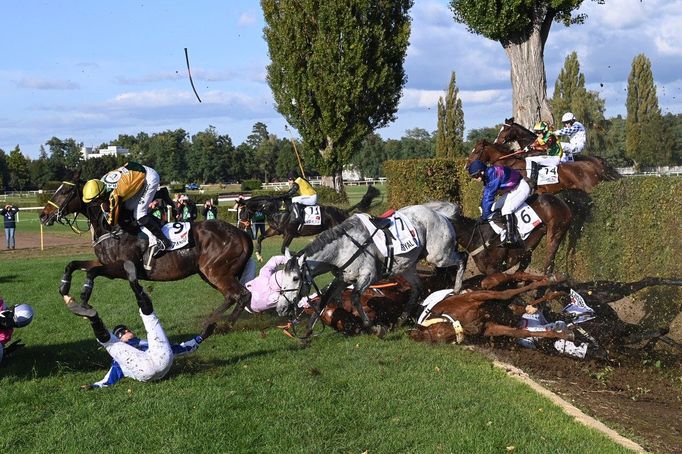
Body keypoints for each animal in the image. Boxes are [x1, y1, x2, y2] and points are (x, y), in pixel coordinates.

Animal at [38, 172, 254, 338]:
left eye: (64, 191)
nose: (43, 215)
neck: (113, 227)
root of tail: (242, 234)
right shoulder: (104, 263)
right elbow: (73, 264)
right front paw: (64, 287)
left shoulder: (121, 268)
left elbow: (91, 273)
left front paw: (84, 296)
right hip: (209, 273)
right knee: (232, 296)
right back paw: (215, 321)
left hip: (216, 271)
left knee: (242, 295)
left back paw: (222, 325)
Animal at [236, 184, 380, 260]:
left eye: (242, 212)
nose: (241, 226)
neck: (275, 209)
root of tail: (341, 211)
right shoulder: (275, 230)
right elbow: (261, 237)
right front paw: (259, 255)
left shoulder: (289, 234)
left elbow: (284, 249)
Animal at [274, 204, 464, 338]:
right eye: (282, 278)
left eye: (295, 278)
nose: (281, 309)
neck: (343, 248)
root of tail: (440, 215)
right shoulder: (342, 279)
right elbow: (324, 300)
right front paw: (307, 332)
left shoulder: (367, 276)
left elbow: (355, 298)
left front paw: (375, 329)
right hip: (407, 266)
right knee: (417, 288)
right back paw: (402, 318)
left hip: (438, 256)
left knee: (462, 257)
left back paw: (456, 288)